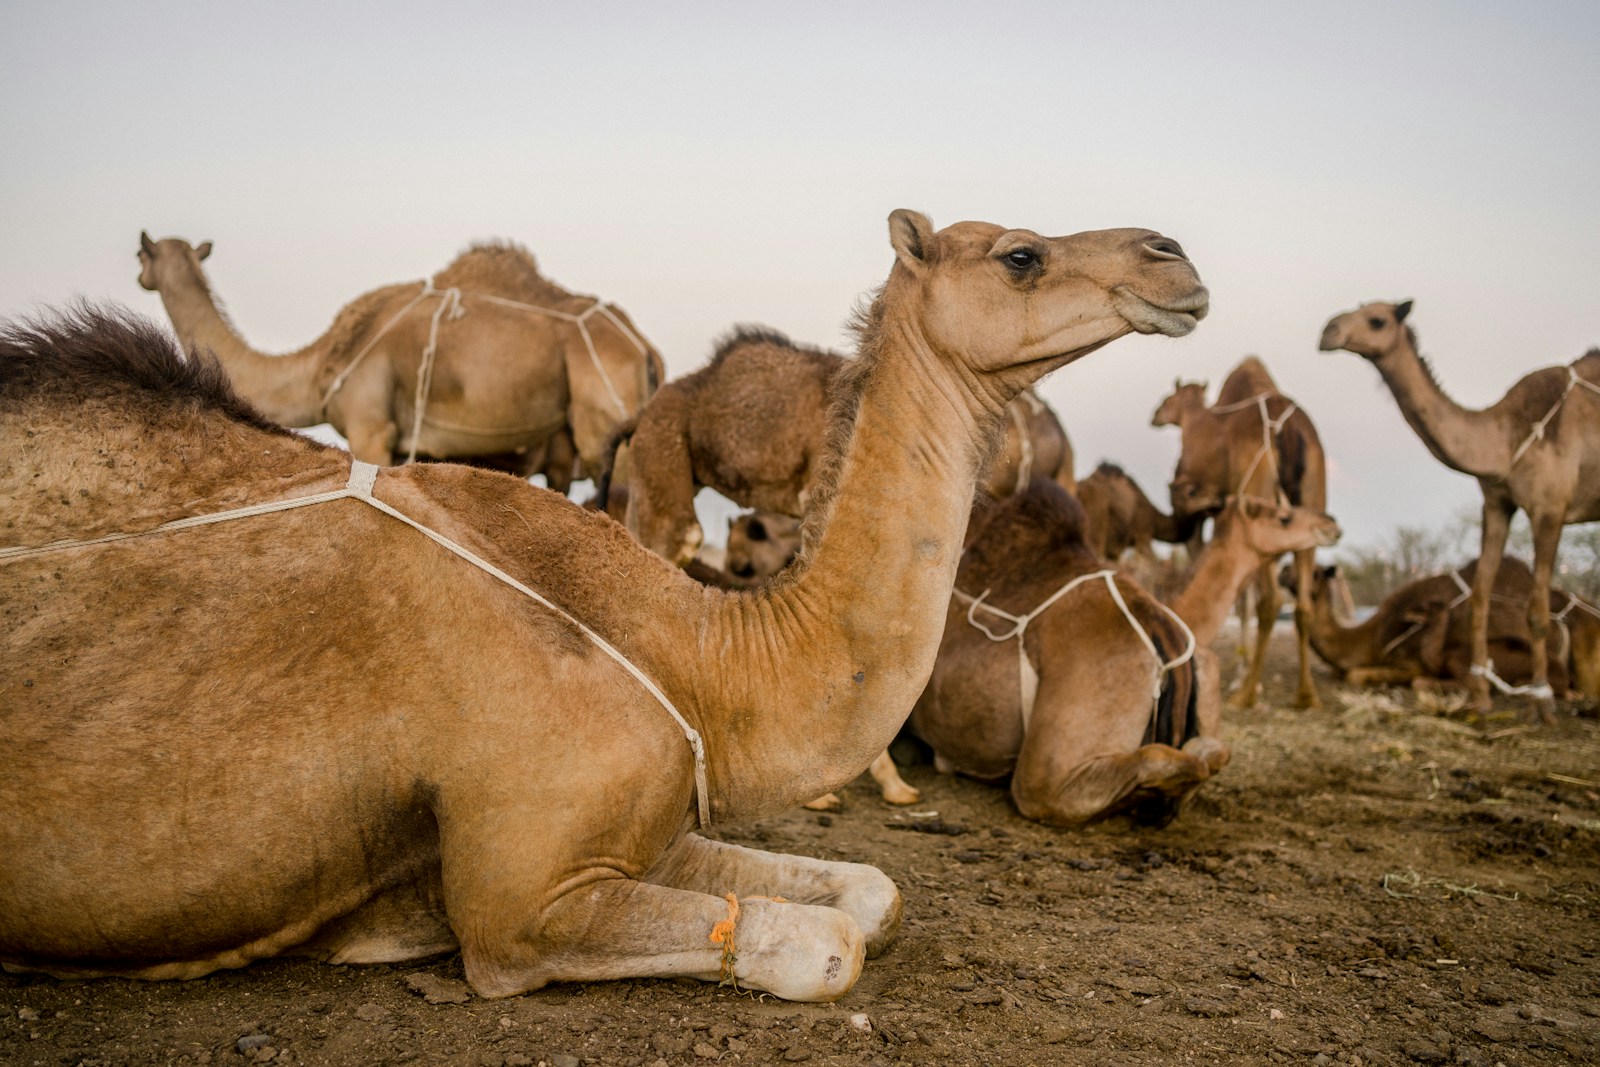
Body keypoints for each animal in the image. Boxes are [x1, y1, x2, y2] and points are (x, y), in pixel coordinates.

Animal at [137, 233, 662, 480]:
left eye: (141, 255)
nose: (143, 275)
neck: (320, 365)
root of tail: (645, 348)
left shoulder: (371, 427)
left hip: (605, 407)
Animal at [1150, 358, 1329, 709]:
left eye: (1166, 399)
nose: (1155, 415)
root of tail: (1288, 430)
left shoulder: (1199, 518)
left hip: (1260, 495)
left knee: (1271, 600)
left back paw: (1247, 692)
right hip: (1311, 500)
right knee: (1301, 603)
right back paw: (1306, 694)